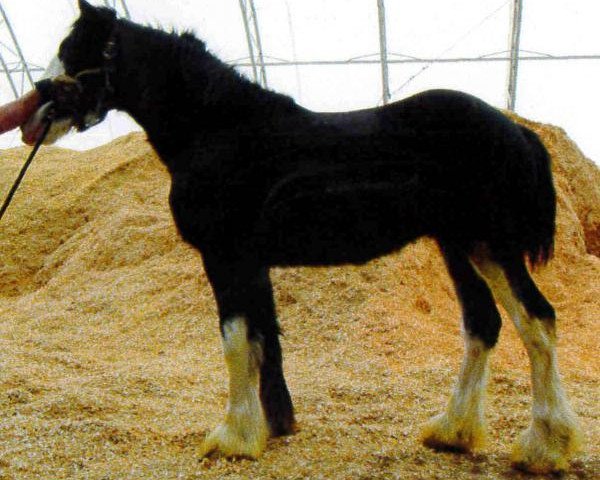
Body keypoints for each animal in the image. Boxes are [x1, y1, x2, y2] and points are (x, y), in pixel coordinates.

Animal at [23, 0, 580, 472]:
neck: (220, 131)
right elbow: (262, 339)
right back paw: (452, 431)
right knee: (484, 325)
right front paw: (272, 426)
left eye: (77, 50)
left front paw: (233, 437)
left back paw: (544, 447)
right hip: (458, 246)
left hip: (490, 245)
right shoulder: (252, 263)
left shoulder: (226, 257)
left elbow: (235, 339)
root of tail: (516, 130)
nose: (35, 117)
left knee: (537, 320)